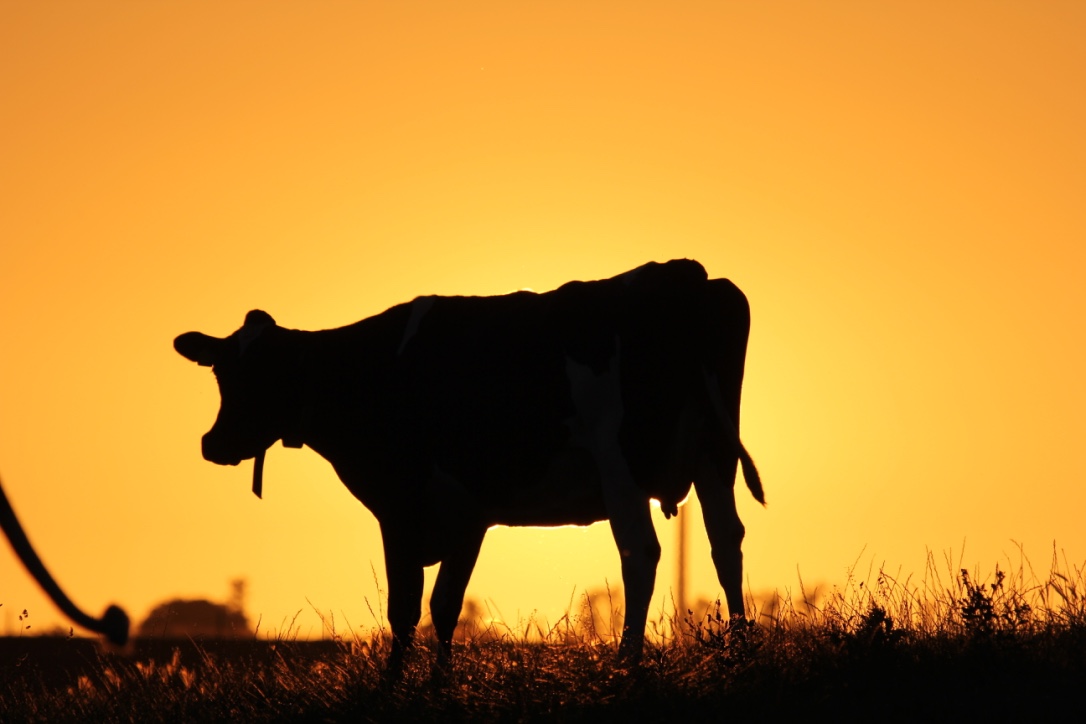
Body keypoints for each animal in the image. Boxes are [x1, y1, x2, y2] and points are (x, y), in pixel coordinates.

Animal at [174, 258, 763, 667]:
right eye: (221, 372)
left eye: (265, 374)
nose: (213, 444)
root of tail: (685, 274)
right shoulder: (465, 515)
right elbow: (443, 607)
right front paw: (437, 683)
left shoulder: (405, 505)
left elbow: (409, 609)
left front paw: (396, 687)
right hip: (714, 454)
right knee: (726, 541)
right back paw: (738, 652)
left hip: (621, 464)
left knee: (640, 552)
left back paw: (627, 663)